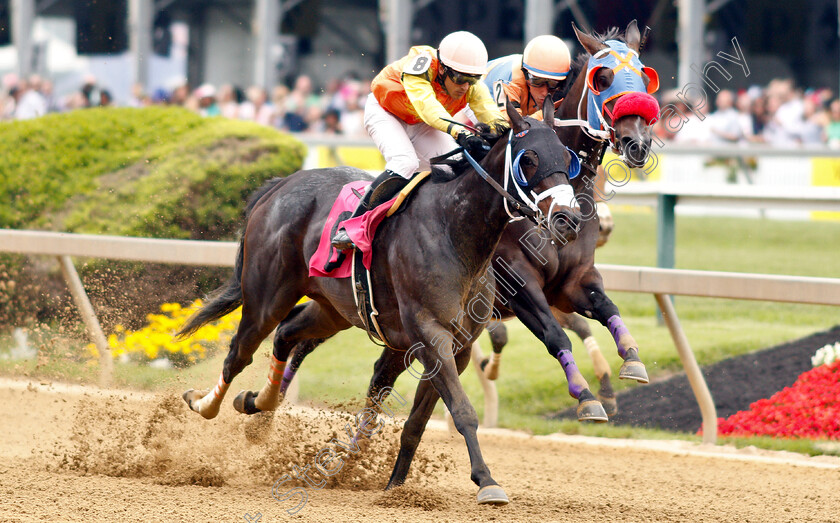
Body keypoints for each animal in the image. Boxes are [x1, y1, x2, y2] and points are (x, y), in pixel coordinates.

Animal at [178, 97, 580, 504]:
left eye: (568, 156)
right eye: (528, 159)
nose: (567, 219)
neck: (453, 230)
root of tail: (281, 185)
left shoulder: (458, 346)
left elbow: (418, 421)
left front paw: (396, 486)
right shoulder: (430, 334)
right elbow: (463, 409)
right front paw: (487, 481)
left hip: (333, 309)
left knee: (287, 334)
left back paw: (257, 406)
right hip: (266, 297)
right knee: (239, 352)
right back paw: (204, 403)